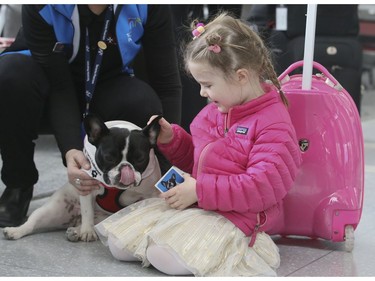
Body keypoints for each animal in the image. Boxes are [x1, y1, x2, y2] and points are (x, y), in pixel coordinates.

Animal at [2, 114, 163, 241]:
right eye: (109, 158)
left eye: (140, 159)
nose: (125, 169)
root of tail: (73, 219)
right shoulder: (86, 187)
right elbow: (87, 212)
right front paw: (87, 232)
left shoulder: (150, 194)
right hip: (51, 210)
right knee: (32, 223)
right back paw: (15, 231)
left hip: (103, 219)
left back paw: (75, 231)